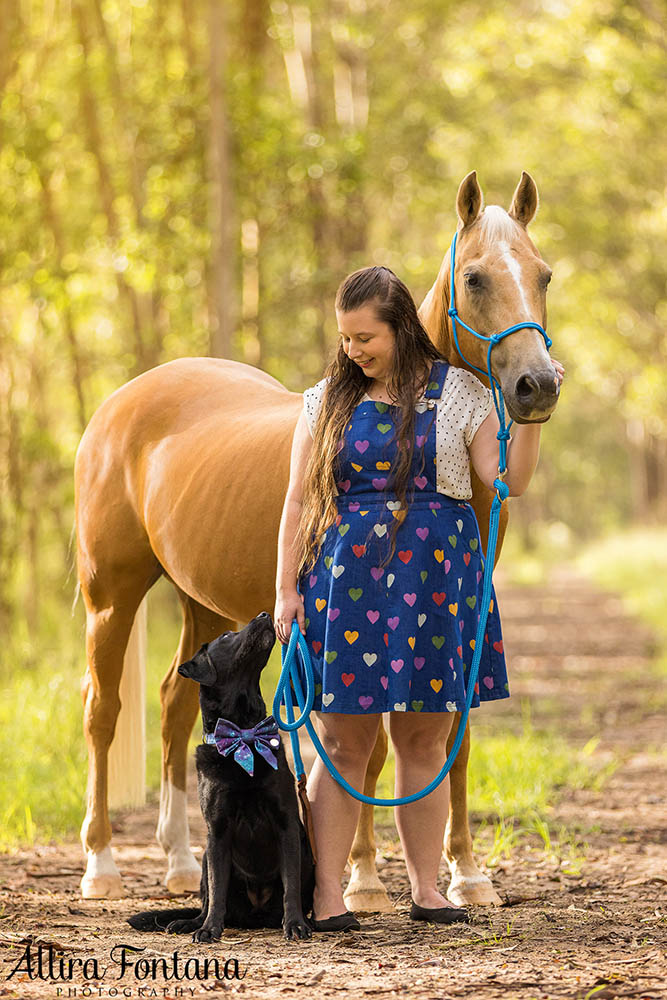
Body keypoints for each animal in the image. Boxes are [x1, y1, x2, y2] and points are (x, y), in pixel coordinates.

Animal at [129, 612, 316, 940]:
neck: (244, 735)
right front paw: (208, 930)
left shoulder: (287, 824)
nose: (264, 614)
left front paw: (295, 924)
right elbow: (217, 889)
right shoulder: (217, 831)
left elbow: (290, 884)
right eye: (227, 636)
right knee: (206, 901)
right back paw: (189, 923)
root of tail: (255, 915)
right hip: (204, 857)